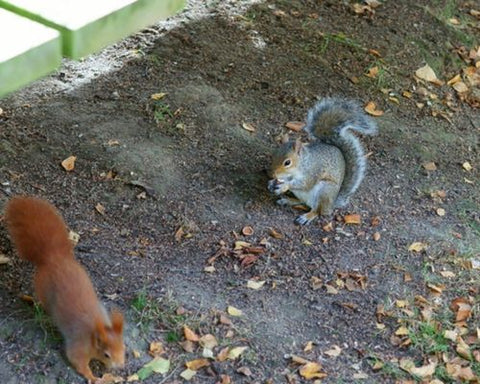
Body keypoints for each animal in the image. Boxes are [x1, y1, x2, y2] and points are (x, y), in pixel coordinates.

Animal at [4, 196, 124, 382]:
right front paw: (93, 377)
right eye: (106, 354)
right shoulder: (79, 344)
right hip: (43, 289)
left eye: (124, 348)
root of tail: (54, 257)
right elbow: (77, 361)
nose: (121, 366)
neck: (95, 331)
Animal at [268, 97, 376, 225]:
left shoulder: (313, 172)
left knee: (318, 211)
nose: (272, 174)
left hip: (324, 191)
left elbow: (304, 184)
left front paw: (284, 186)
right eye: (274, 155)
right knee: (302, 201)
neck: (303, 163)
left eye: (287, 162)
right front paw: (272, 183)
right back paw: (288, 200)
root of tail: (332, 204)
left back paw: (307, 216)